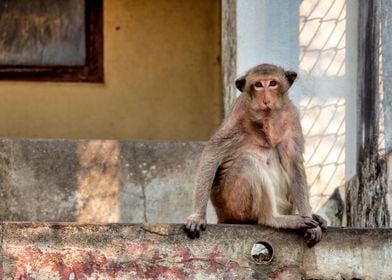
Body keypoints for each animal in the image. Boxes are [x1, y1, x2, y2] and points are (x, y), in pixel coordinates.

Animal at [185, 64, 326, 247]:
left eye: (272, 83)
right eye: (258, 85)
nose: (266, 98)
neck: (267, 119)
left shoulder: (291, 116)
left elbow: (294, 163)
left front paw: (310, 219)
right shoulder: (239, 115)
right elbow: (212, 153)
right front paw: (197, 217)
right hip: (234, 205)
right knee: (247, 162)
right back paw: (273, 219)